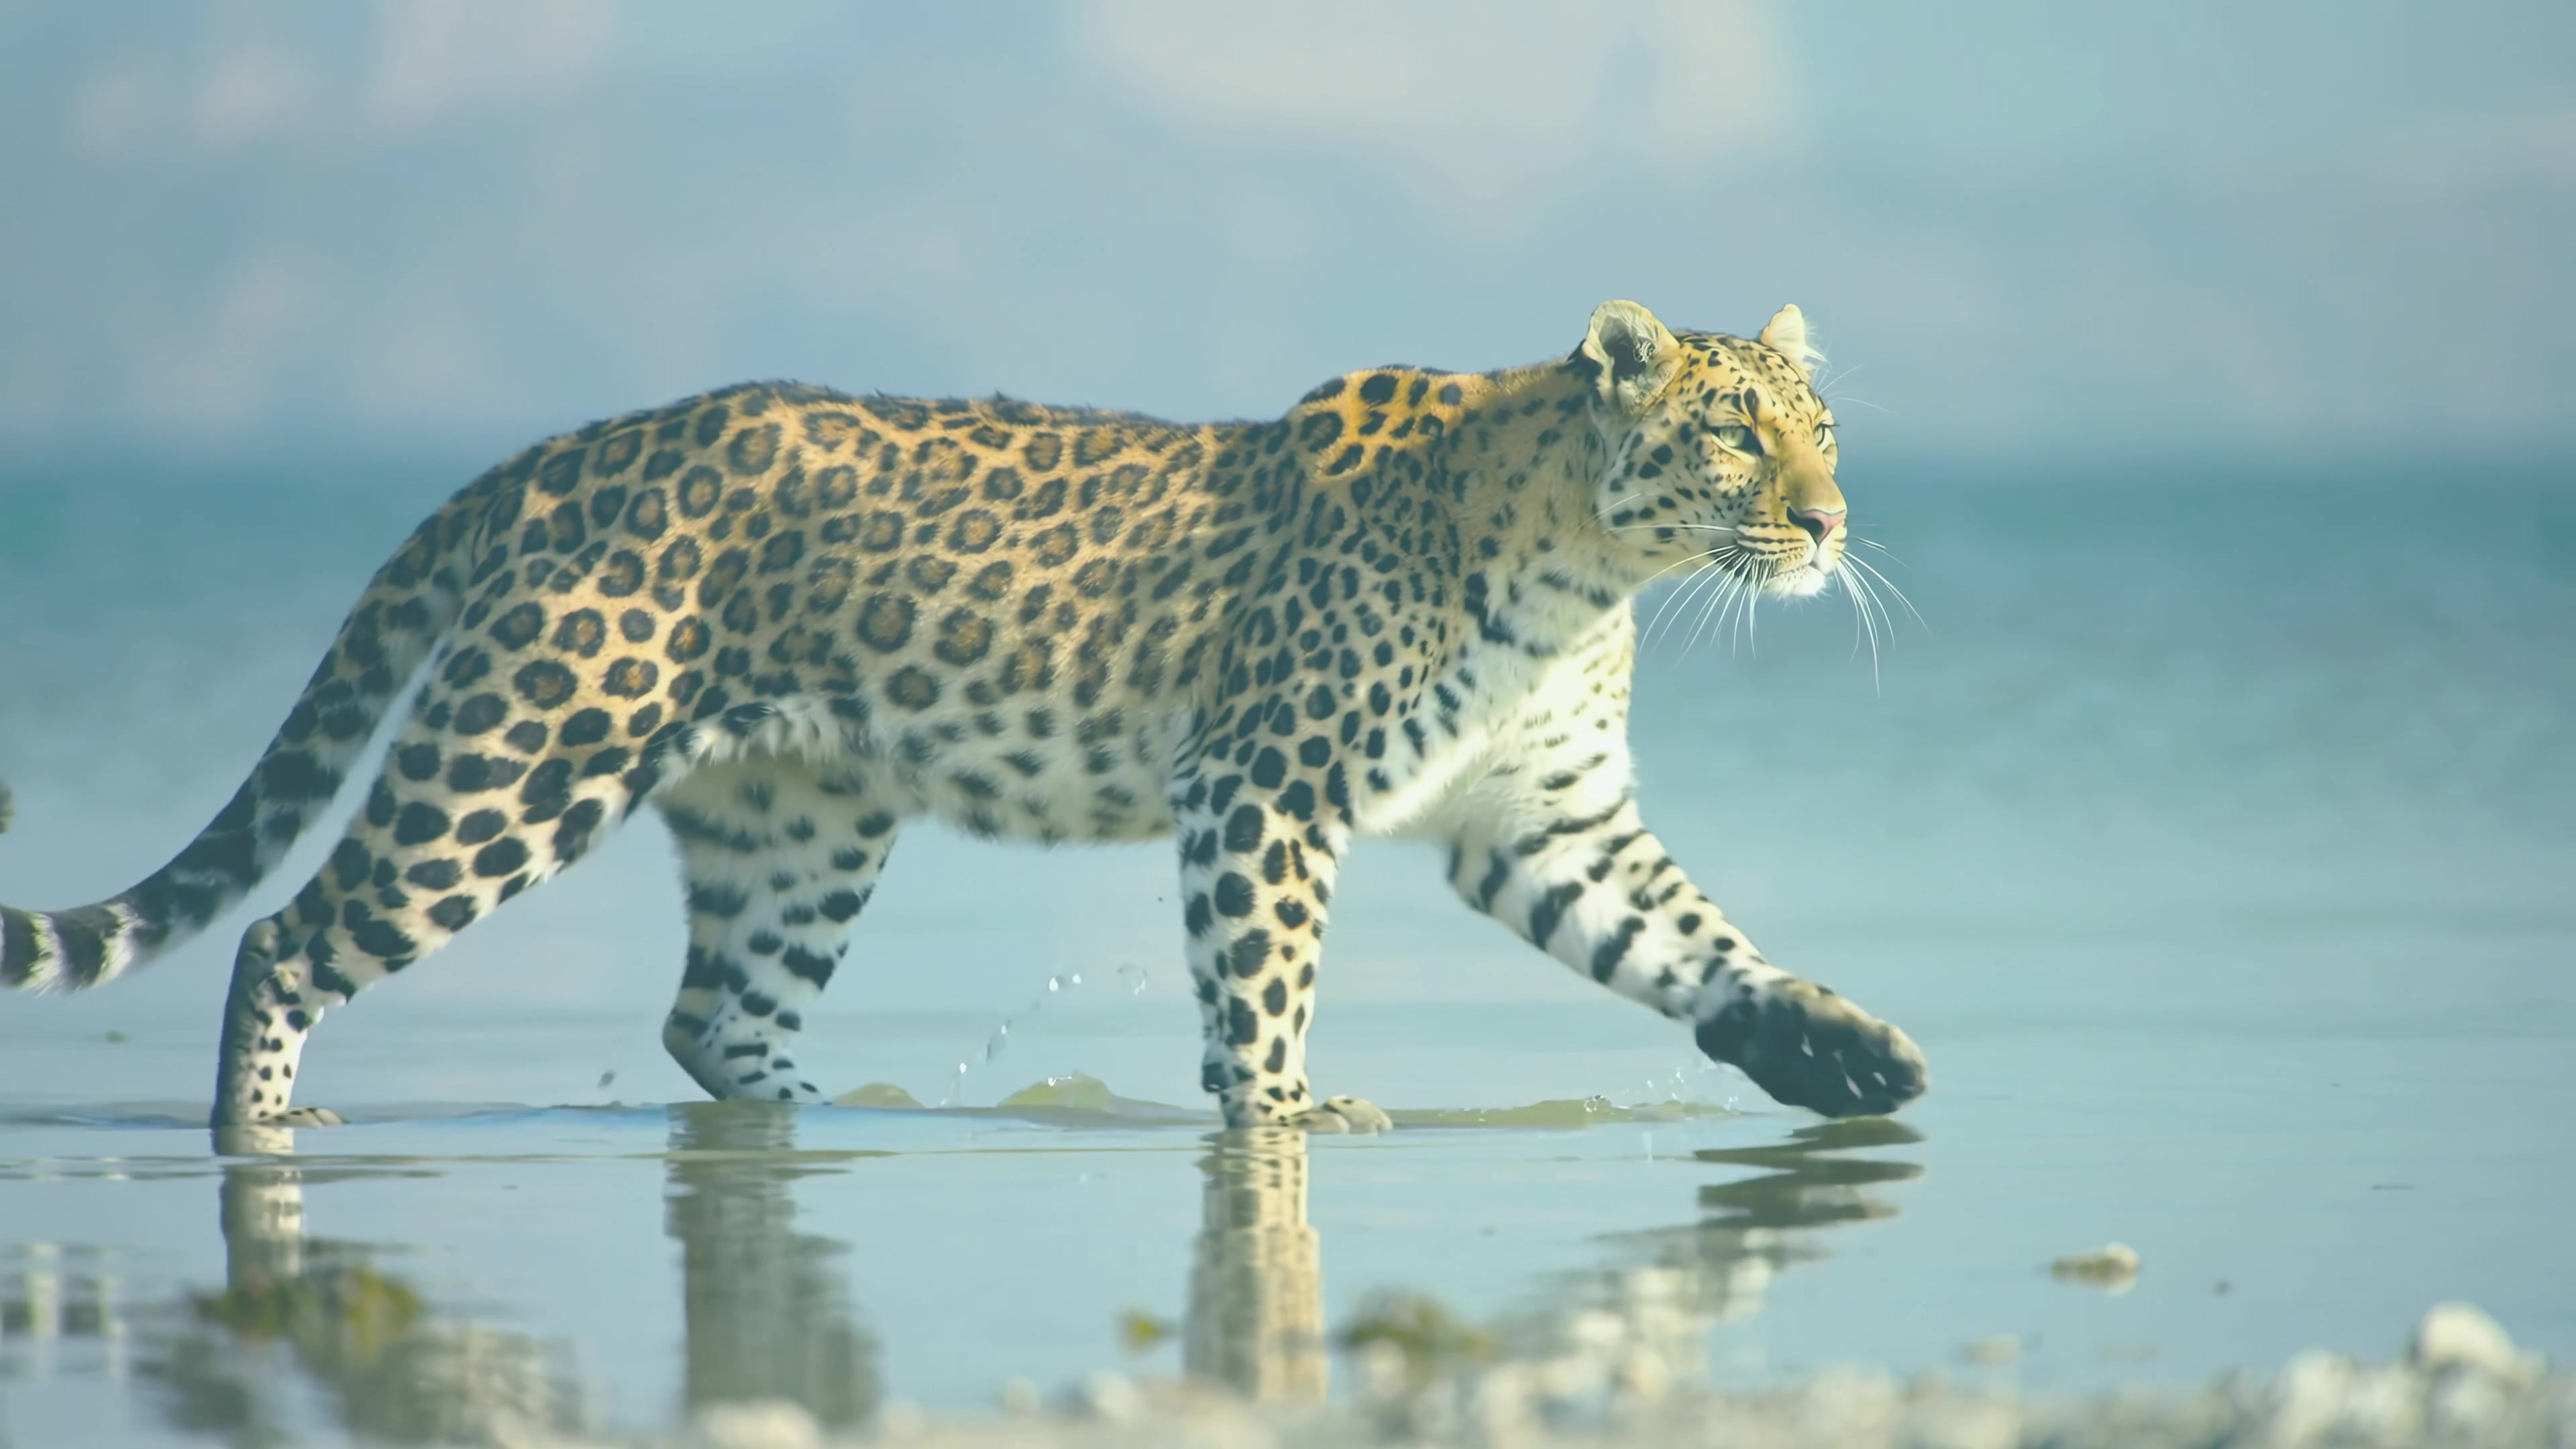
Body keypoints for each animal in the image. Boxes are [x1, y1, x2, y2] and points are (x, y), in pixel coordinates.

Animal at [0, 300, 1928, 1130]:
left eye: (1826, 426)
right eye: (1739, 432)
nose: (1834, 521)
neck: (1588, 575)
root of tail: (563, 449)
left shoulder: (1545, 820)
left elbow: (1690, 940)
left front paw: (1837, 1052)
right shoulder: (1260, 789)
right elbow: (1266, 997)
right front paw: (1287, 1125)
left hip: (802, 821)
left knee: (717, 1018)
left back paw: (842, 1119)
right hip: (524, 756)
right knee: (290, 937)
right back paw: (264, 1134)